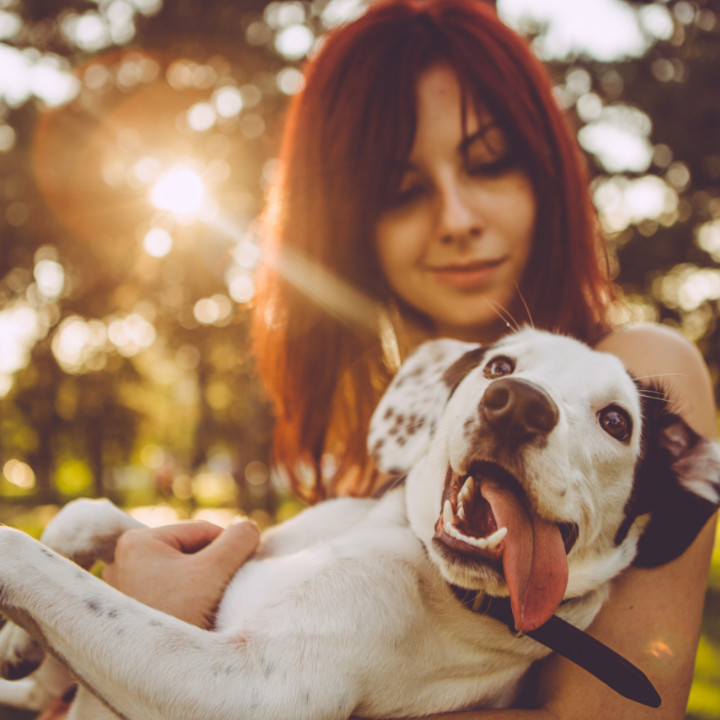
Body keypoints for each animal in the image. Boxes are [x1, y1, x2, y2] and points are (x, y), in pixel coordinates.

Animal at [1, 328, 720, 720]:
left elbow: (28, 553)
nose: (516, 404)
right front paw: (23, 651)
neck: (404, 543)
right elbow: (85, 515)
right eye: (500, 367)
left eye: (616, 421)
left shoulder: (252, 684)